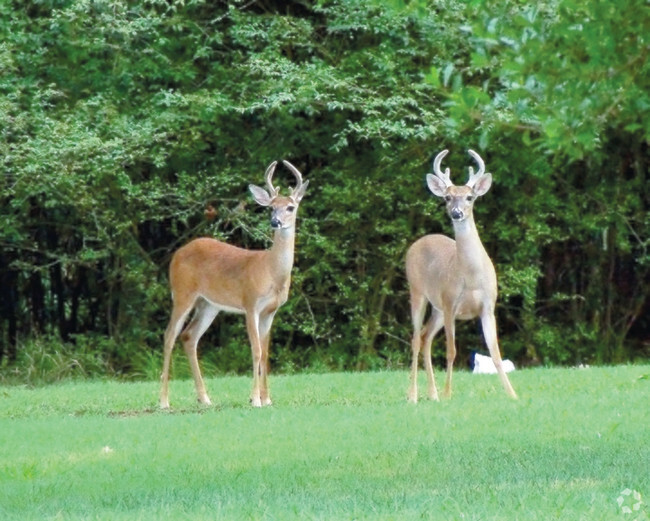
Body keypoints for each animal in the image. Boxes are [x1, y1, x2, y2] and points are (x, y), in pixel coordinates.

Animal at [158, 160, 308, 408]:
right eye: (271, 207)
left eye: (290, 207)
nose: (275, 222)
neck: (271, 271)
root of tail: (177, 254)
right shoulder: (250, 303)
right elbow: (256, 350)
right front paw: (255, 399)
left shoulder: (270, 311)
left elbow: (266, 354)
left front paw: (267, 399)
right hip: (182, 293)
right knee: (169, 335)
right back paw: (164, 401)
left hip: (208, 304)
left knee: (189, 336)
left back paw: (205, 398)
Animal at [404, 149, 516, 402]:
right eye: (447, 197)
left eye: (470, 197)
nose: (456, 213)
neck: (472, 278)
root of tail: (418, 242)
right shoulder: (451, 303)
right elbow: (451, 351)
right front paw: (448, 394)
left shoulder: (488, 306)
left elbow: (495, 353)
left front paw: (513, 394)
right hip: (418, 292)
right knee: (415, 339)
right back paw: (414, 395)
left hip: (437, 307)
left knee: (425, 338)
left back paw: (432, 394)